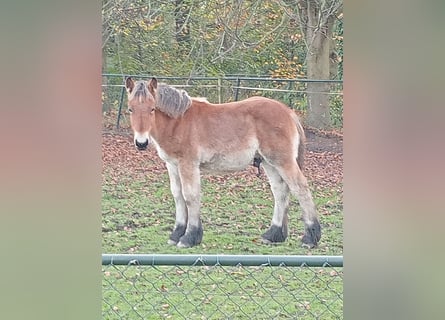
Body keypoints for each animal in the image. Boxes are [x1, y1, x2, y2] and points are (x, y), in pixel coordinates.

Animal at [124, 77, 320, 248]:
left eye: (152, 109)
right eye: (130, 109)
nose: (141, 143)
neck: (178, 122)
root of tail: (289, 113)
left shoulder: (188, 164)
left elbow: (190, 196)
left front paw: (189, 237)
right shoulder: (172, 165)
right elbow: (178, 196)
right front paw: (177, 234)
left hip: (282, 161)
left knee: (300, 188)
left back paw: (310, 237)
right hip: (269, 163)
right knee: (280, 191)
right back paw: (273, 234)